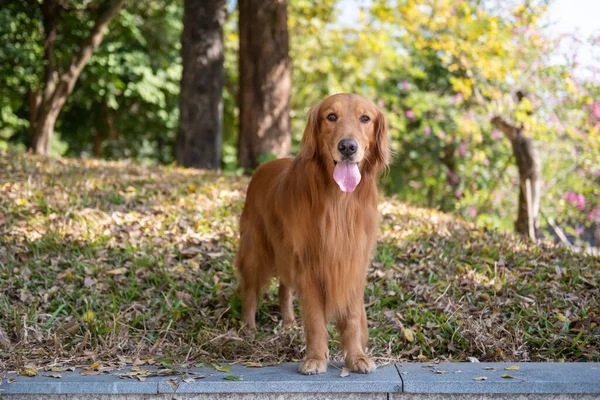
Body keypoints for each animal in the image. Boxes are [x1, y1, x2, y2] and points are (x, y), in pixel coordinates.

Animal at [234, 92, 390, 374]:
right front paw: (316, 358)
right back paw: (248, 327)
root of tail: (263, 166)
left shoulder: (353, 261)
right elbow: (316, 319)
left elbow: (352, 316)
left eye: (365, 118)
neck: (340, 201)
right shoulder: (310, 263)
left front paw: (356, 357)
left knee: (284, 288)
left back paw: (288, 323)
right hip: (257, 247)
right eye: (331, 116)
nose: (347, 147)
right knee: (250, 288)